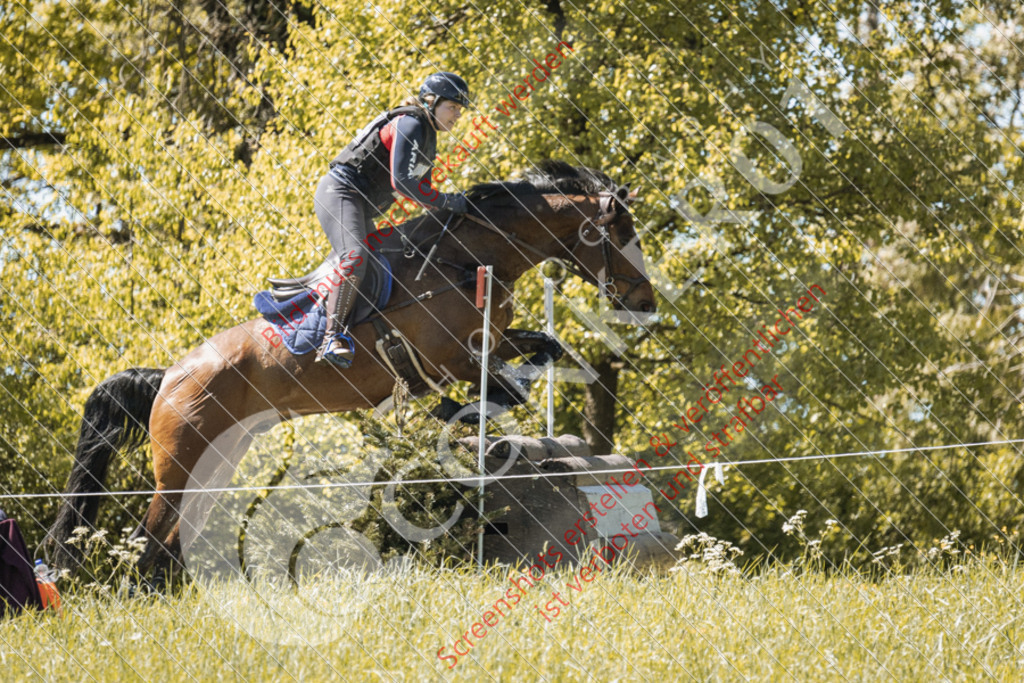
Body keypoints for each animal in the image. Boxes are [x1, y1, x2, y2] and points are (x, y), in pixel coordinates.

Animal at [44, 161, 655, 577]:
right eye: (623, 237)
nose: (645, 303)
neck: (465, 258)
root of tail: (170, 374)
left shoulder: (492, 342)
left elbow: (543, 353)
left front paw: (466, 419)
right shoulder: (454, 356)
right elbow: (503, 385)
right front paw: (458, 416)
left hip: (216, 465)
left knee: (172, 543)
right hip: (179, 465)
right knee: (150, 542)